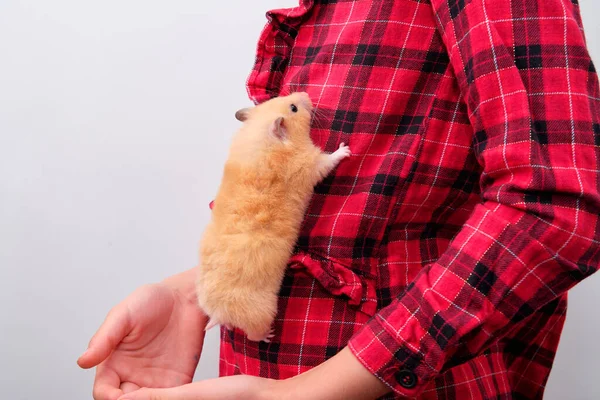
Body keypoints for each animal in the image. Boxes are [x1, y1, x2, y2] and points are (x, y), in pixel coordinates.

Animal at [197, 92, 350, 342]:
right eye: (294, 108)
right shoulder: (309, 164)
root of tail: (219, 311)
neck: (261, 139)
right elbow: (328, 160)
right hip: (262, 312)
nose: (306, 94)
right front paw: (345, 148)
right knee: (253, 334)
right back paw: (268, 335)